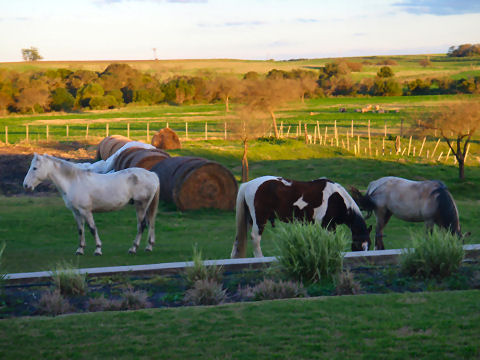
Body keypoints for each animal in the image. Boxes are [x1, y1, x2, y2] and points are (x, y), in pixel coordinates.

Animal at [22, 153, 160, 255]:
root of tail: (152, 174)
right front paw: (80, 249)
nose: (26, 186)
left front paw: (98, 249)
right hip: (147, 206)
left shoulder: (86, 211)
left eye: (34, 168)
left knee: (142, 225)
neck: (73, 182)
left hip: (141, 205)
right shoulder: (76, 212)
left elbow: (92, 229)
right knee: (150, 223)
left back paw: (133, 248)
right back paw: (149, 246)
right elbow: (80, 230)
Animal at [230, 176, 372, 258]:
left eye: (369, 245)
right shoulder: (326, 226)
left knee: (238, 239)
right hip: (260, 219)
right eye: (358, 245)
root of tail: (248, 184)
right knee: (255, 237)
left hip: (249, 219)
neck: (335, 198)